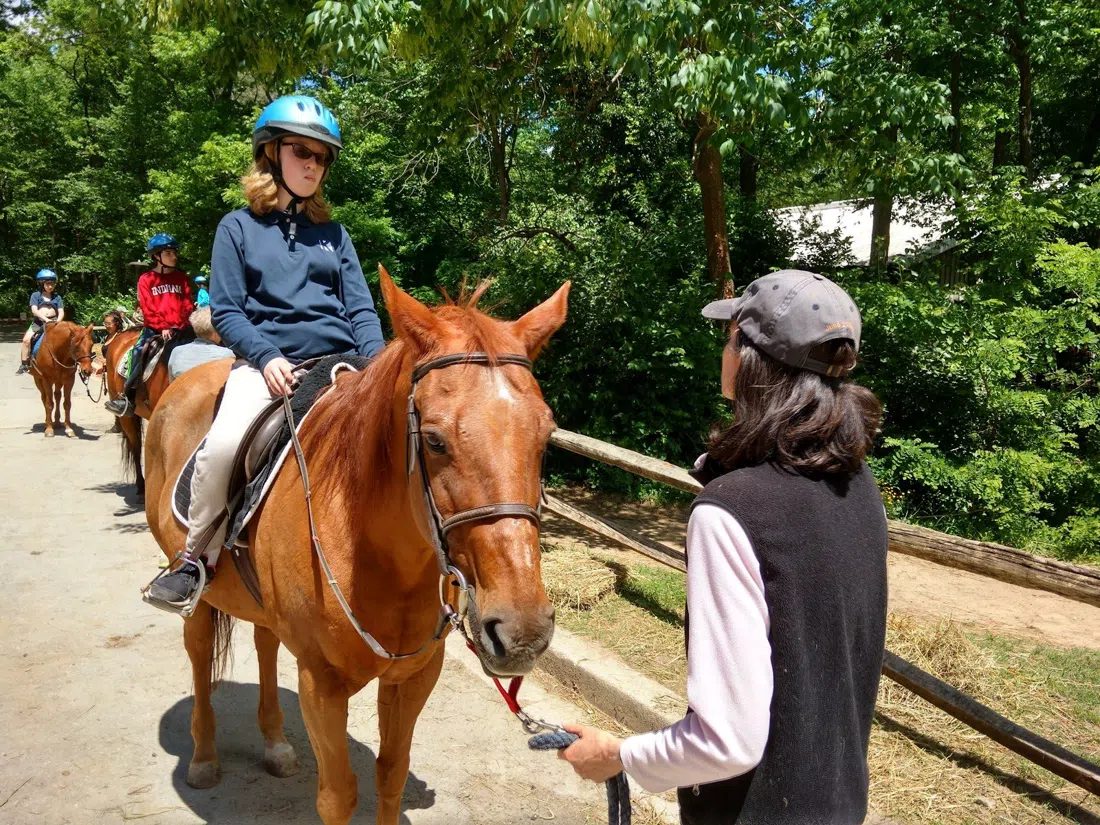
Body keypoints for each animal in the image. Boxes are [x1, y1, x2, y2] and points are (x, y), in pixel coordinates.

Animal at [142, 267, 569, 825]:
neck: (379, 555)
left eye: (545, 437)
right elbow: (339, 794)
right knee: (197, 652)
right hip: (196, 590)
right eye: (434, 440)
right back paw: (204, 758)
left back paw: (276, 745)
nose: (523, 632)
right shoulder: (321, 684)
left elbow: (390, 775)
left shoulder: (414, 677)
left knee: (264, 642)